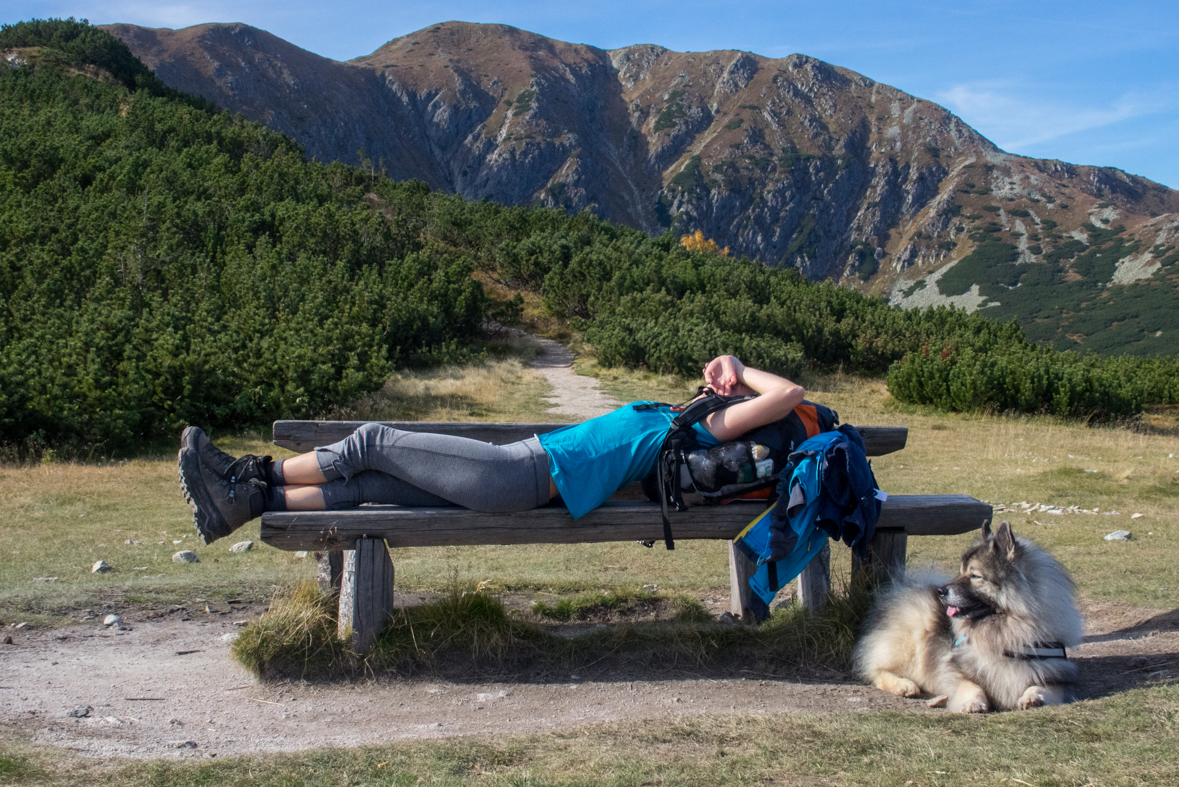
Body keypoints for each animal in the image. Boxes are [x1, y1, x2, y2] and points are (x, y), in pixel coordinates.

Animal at [853, 523, 1079, 711]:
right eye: (960, 571)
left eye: (975, 576)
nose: (941, 591)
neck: (1005, 630)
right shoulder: (956, 669)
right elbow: (972, 686)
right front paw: (972, 703)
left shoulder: (1053, 675)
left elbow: (1039, 686)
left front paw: (1032, 698)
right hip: (913, 640)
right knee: (876, 670)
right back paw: (905, 685)